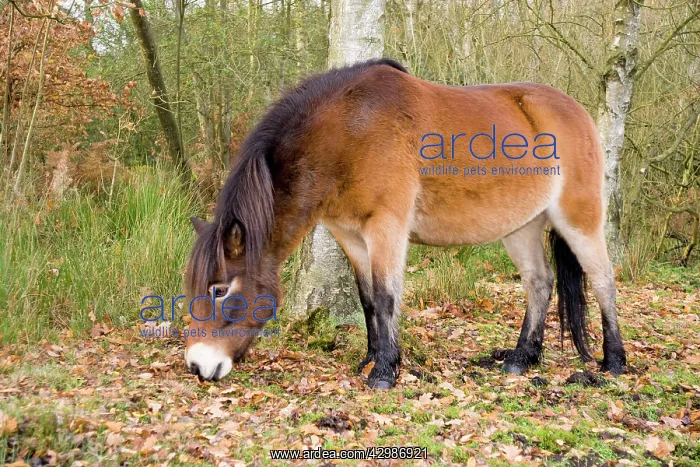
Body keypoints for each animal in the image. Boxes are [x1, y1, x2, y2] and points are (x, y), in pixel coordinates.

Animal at [183, 58, 627, 389]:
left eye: (219, 289)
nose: (198, 366)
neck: (349, 131)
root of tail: (575, 110)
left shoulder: (387, 228)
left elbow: (386, 297)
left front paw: (384, 372)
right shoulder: (350, 236)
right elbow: (366, 301)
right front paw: (371, 359)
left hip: (579, 219)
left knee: (602, 280)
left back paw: (614, 362)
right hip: (522, 226)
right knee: (539, 282)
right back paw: (522, 358)